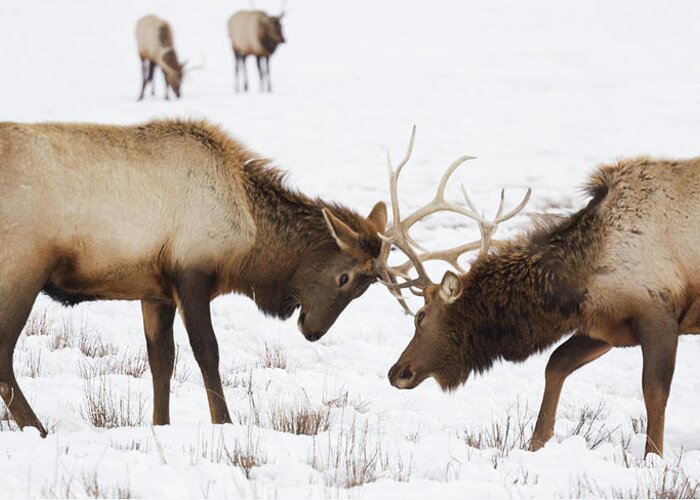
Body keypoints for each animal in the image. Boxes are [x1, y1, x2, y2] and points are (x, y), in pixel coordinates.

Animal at [0, 118, 388, 438]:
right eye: (344, 278)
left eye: (363, 289)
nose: (313, 331)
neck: (248, 237)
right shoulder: (191, 274)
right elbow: (207, 352)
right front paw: (224, 423)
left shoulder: (155, 290)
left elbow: (161, 361)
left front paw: (160, 424)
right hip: (22, 268)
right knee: (5, 357)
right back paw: (38, 430)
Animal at [382, 128, 700, 458]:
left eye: (420, 316)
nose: (396, 371)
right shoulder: (604, 326)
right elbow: (555, 364)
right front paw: (536, 443)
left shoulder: (658, 315)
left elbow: (654, 392)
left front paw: (654, 457)